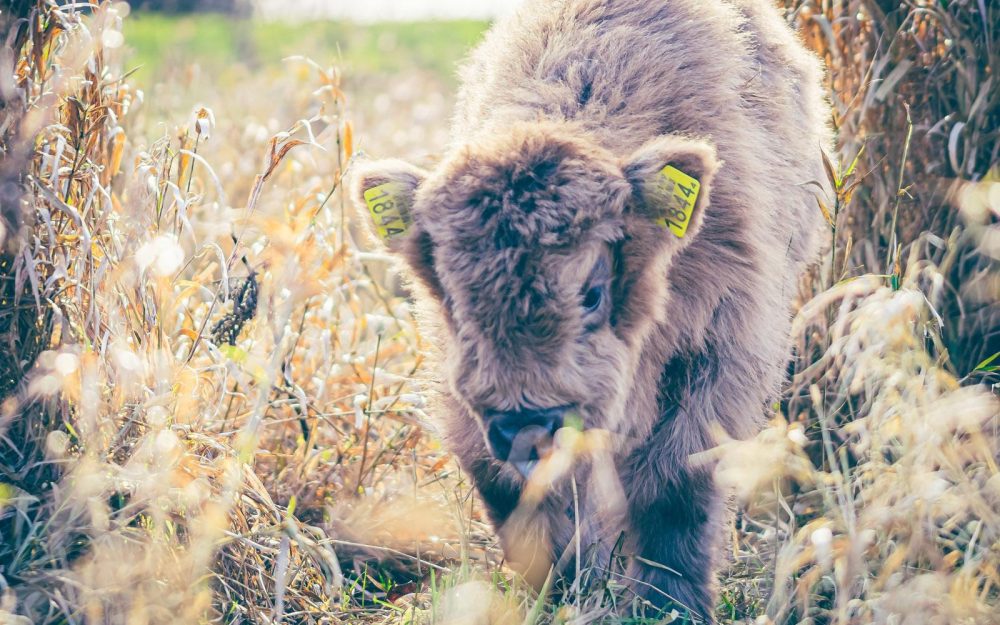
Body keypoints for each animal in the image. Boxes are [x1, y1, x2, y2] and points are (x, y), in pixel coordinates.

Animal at [352, 0, 828, 620]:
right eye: (453, 298)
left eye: (593, 292)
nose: (526, 423)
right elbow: (517, 495)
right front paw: (558, 593)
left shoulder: (716, 358)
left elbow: (674, 490)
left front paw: (670, 604)